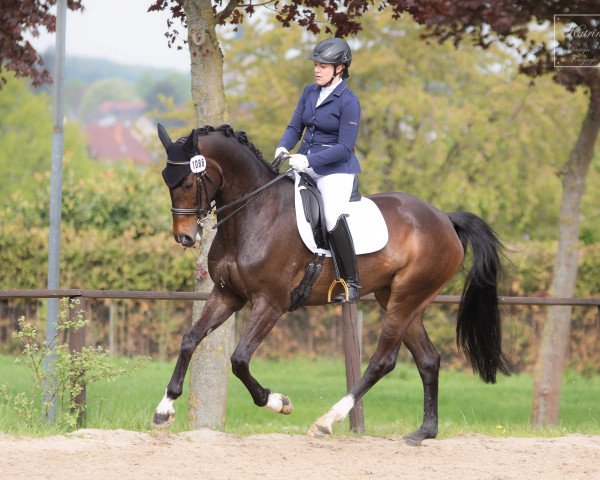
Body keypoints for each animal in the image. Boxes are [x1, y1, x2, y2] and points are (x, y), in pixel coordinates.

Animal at [152, 123, 508, 442]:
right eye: (167, 181)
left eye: (187, 182)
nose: (185, 237)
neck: (255, 213)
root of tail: (445, 219)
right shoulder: (227, 295)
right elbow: (189, 340)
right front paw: (164, 409)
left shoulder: (271, 303)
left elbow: (239, 360)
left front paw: (278, 402)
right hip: (402, 299)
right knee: (428, 359)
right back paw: (425, 432)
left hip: (405, 298)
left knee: (383, 360)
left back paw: (327, 421)